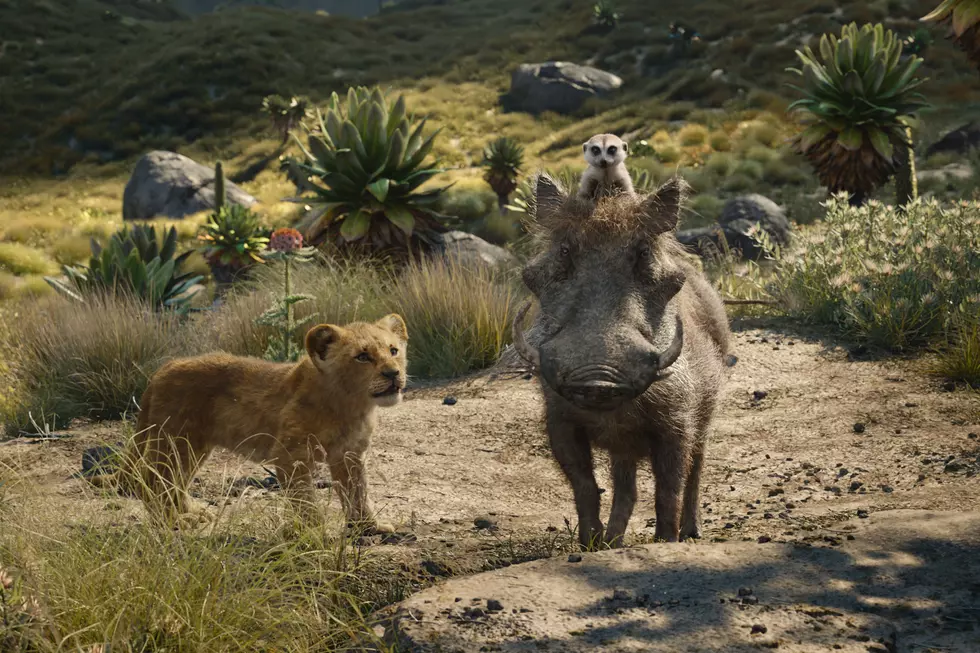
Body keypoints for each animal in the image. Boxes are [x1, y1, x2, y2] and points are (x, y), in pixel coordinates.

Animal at [90, 314, 409, 533]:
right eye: (363, 356)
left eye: (393, 351)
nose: (394, 373)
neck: (352, 405)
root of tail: (161, 370)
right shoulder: (291, 455)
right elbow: (304, 499)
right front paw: (313, 532)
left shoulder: (350, 455)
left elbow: (358, 492)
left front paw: (368, 527)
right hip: (174, 441)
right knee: (152, 482)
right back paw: (176, 521)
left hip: (192, 446)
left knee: (174, 482)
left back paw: (192, 511)